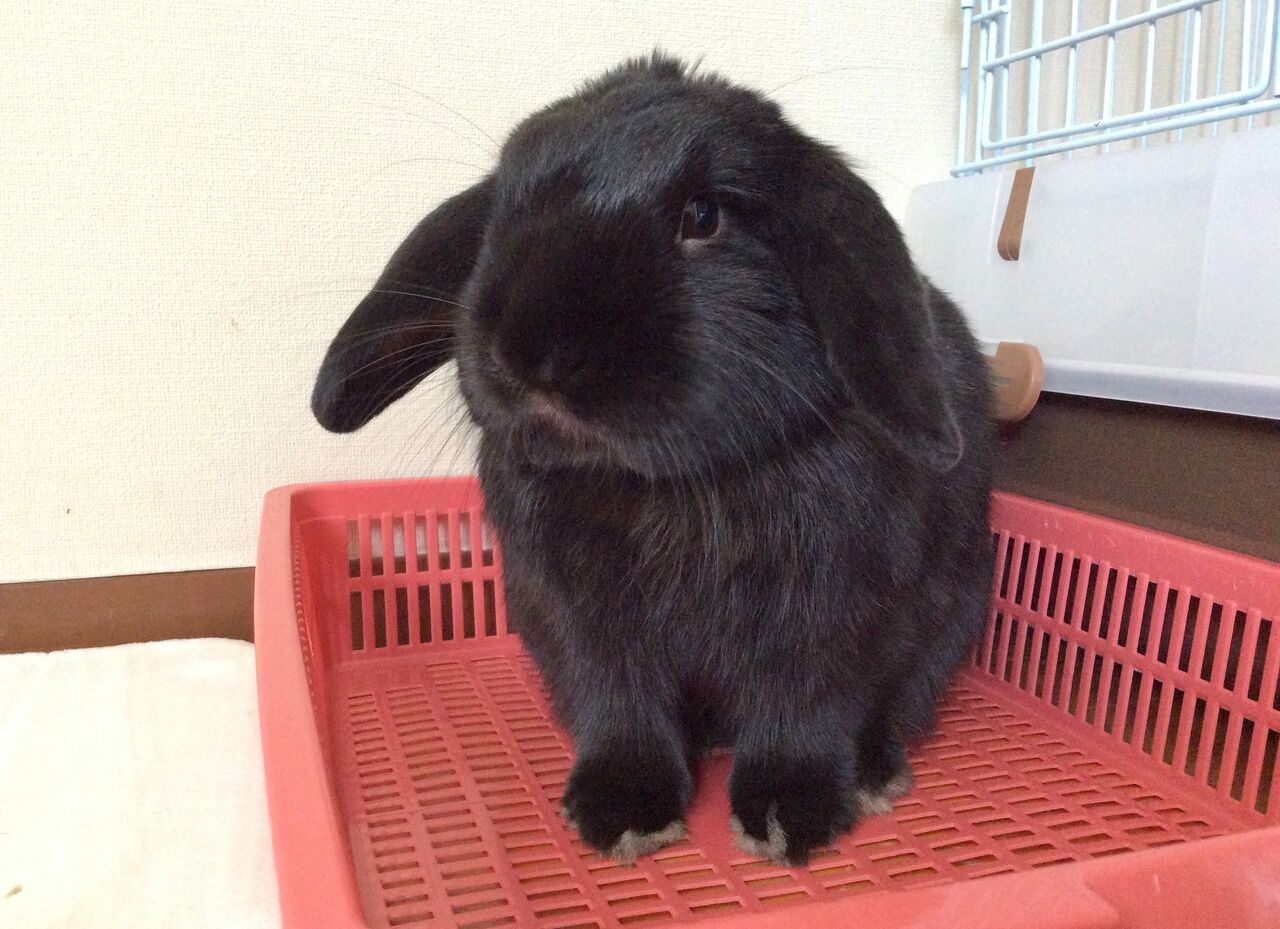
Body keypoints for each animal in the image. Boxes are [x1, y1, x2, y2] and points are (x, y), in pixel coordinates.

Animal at [312, 53, 994, 867]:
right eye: (501, 209)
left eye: (704, 217)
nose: (528, 351)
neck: (663, 487)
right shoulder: (580, 623)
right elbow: (621, 708)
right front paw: (622, 813)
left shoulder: (832, 616)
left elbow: (804, 710)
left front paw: (789, 817)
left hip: (952, 621)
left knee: (900, 703)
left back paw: (874, 775)